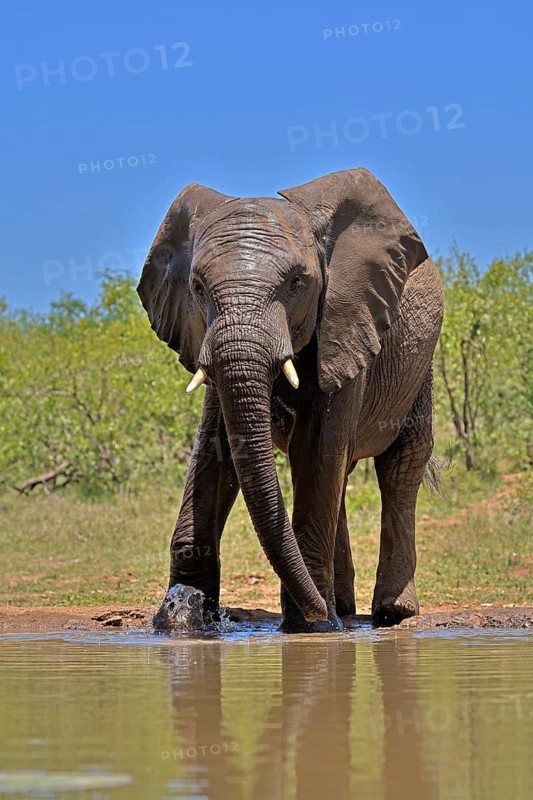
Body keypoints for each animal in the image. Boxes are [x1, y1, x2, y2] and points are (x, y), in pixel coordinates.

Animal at [137, 168, 444, 633]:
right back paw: (342, 606)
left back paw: (389, 612)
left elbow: (316, 447)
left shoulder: (346, 320)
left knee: (399, 465)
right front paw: (184, 615)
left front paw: (311, 626)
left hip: (419, 366)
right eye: (198, 287)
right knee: (343, 471)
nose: (319, 613)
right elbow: (218, 447)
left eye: (297, 283)